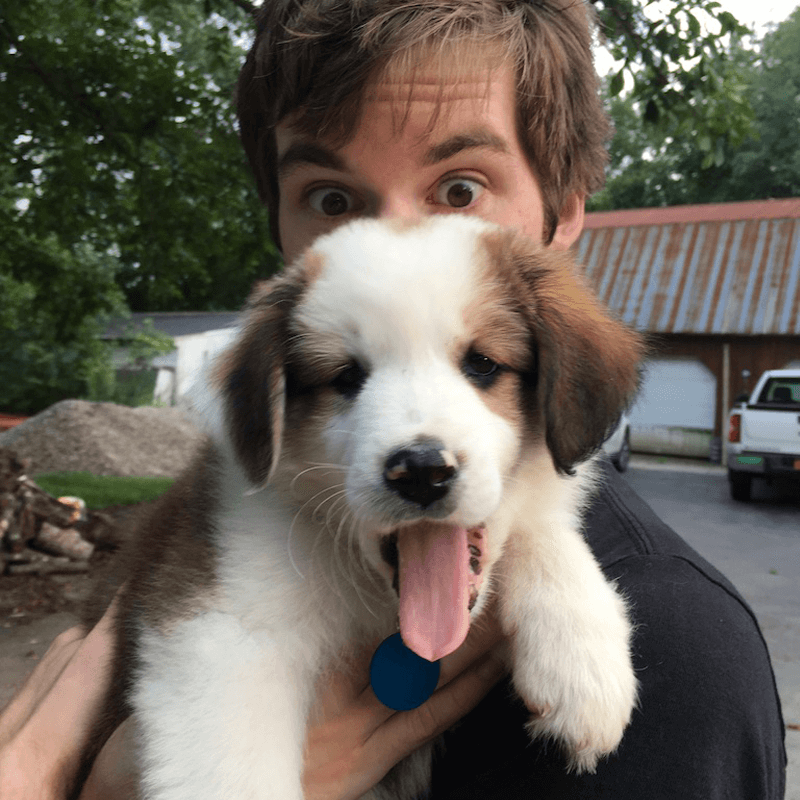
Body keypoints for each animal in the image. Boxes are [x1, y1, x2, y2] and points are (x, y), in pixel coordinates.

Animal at [98, 216, 644, 796]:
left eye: (482, 364)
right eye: (345, 377)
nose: (422, 470)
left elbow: (538, 529)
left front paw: (582, 660)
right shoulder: (222, 626)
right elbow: (231, 769)